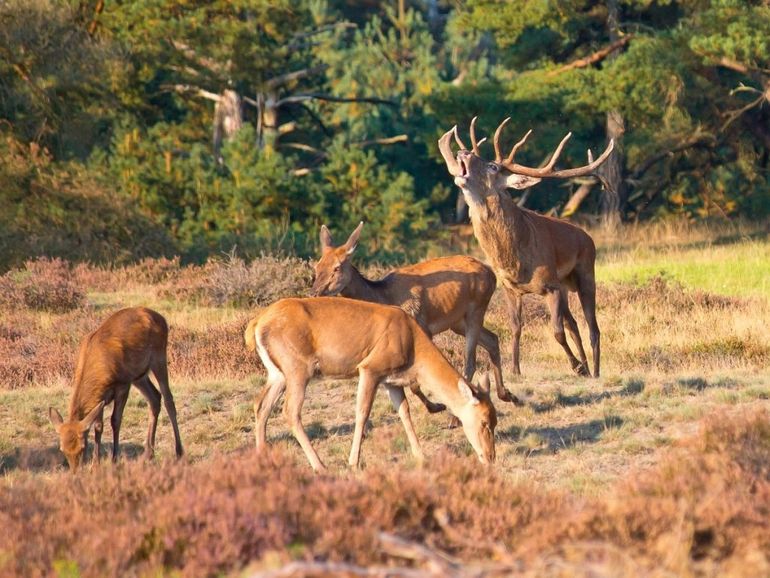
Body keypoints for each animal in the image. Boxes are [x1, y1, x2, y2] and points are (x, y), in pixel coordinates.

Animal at [48, 306, 183, 468]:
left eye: (83, 447)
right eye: (62, 449)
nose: (75, 470)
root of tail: (162, 318)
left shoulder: (122, 385)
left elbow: (115, 420)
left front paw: (114, 458)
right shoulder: (100, 397)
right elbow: (98, 425)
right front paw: (96, 463)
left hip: (159, 357)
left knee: (169, 399)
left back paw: (179, 452)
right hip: (139, 376)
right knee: (155, 398)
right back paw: (148, 454)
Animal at [243, 296, 496, 472]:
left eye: (495, 420)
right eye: (484, 421)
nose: (490, 457)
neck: (413, 346)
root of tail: (255, 325)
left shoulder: (391, 380)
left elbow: (404, 411)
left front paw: (421, 455)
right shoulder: (370, 368)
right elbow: (362, 412)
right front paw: (353, 462)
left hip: (277, 374)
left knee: (261, 405)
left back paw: (263, 457)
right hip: (297, 369)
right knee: (290, 411)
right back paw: (320, 465)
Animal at [308, 220, 516, 404]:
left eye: (337, 267)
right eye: (317, 266)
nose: (313, 292)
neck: (384, 296)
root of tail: (492, 274)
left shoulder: (422, 326)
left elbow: (416, 381)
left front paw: (436, 406)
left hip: (477, 308)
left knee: (470, 361)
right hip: (458, 322)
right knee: (492, 339)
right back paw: (506, 394)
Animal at [438, 118, 612, 376]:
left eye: (493, 167)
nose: (463, 152)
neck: (515, 261)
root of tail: (587, 237)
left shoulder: (550, 286)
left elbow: (557, 333)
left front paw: (576, 366)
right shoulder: (511, 288)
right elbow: (516, 328)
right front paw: (516, 369)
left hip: (586, 272)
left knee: (593, 328)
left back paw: (595, 371)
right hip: (564, 285)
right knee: (574, 324)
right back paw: (588, 369)